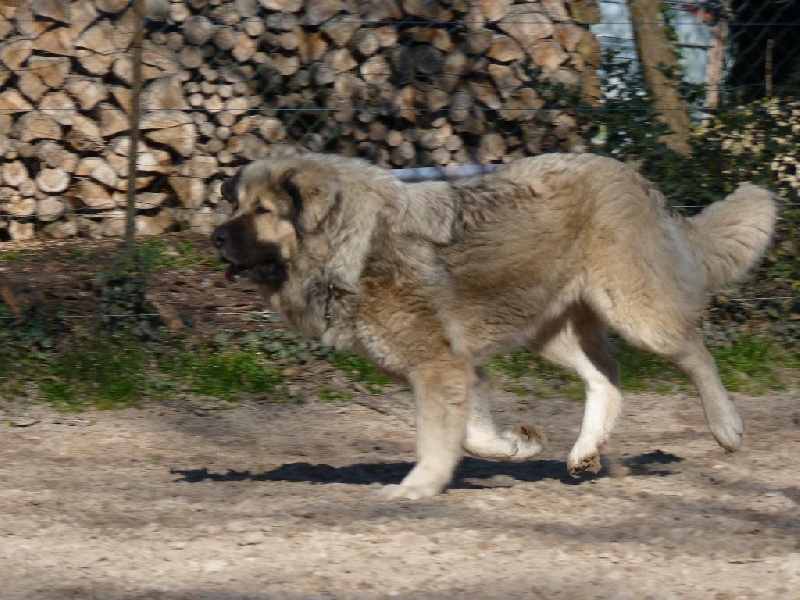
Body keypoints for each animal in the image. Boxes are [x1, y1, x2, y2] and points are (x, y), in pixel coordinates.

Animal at [212, 152, 777, 499]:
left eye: (261, 211)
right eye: (235, 205)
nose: (215, 237)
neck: (354, 241)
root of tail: (636, 178)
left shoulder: (439, 368)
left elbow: (438, 438)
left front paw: (417, 486)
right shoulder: (458, 368)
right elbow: (473, 435)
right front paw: (518, 446)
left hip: (636, 313)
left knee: (695, 352)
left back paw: (726, 427)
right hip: (547, 329)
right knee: (608, 377)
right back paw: (585, 451)